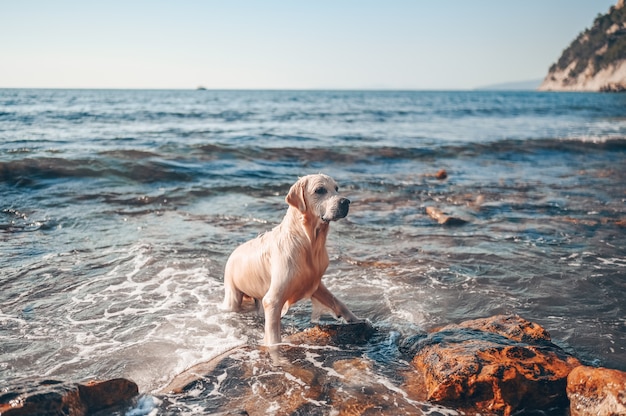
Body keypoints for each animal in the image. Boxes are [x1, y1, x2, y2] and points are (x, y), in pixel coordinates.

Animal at [222, 172, 358, 344]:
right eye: (320, 190)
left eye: (336, 188)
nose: (346, 202)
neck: (307, 242)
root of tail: (235, 251)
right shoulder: (273, 300)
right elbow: (273, 333)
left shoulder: (313, 281)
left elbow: (337, 301)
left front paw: (355, 319)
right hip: (232, 294)